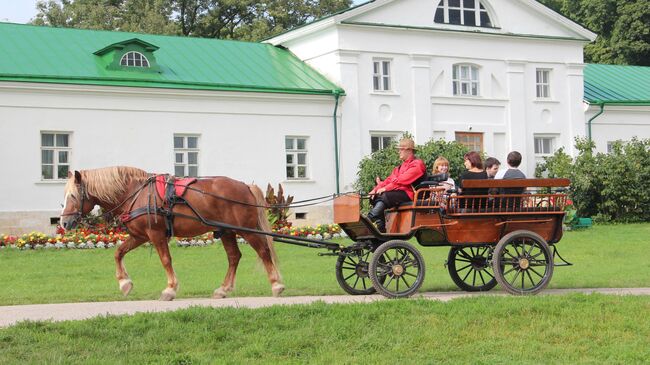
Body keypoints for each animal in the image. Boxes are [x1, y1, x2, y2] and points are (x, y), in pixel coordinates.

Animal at [59, 166, 282, 300]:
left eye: (73, 196)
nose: (64, 222)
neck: (137, 193)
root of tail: (246, 186)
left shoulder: (155, 234)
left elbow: (166, 260)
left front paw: (170, 288)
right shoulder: (140, 236)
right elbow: (118, 253)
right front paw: (124, 283)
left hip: (247, 231)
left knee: (263, 252)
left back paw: (276, 284)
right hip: (226, 231)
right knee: (234, 257)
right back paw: (223, 289)